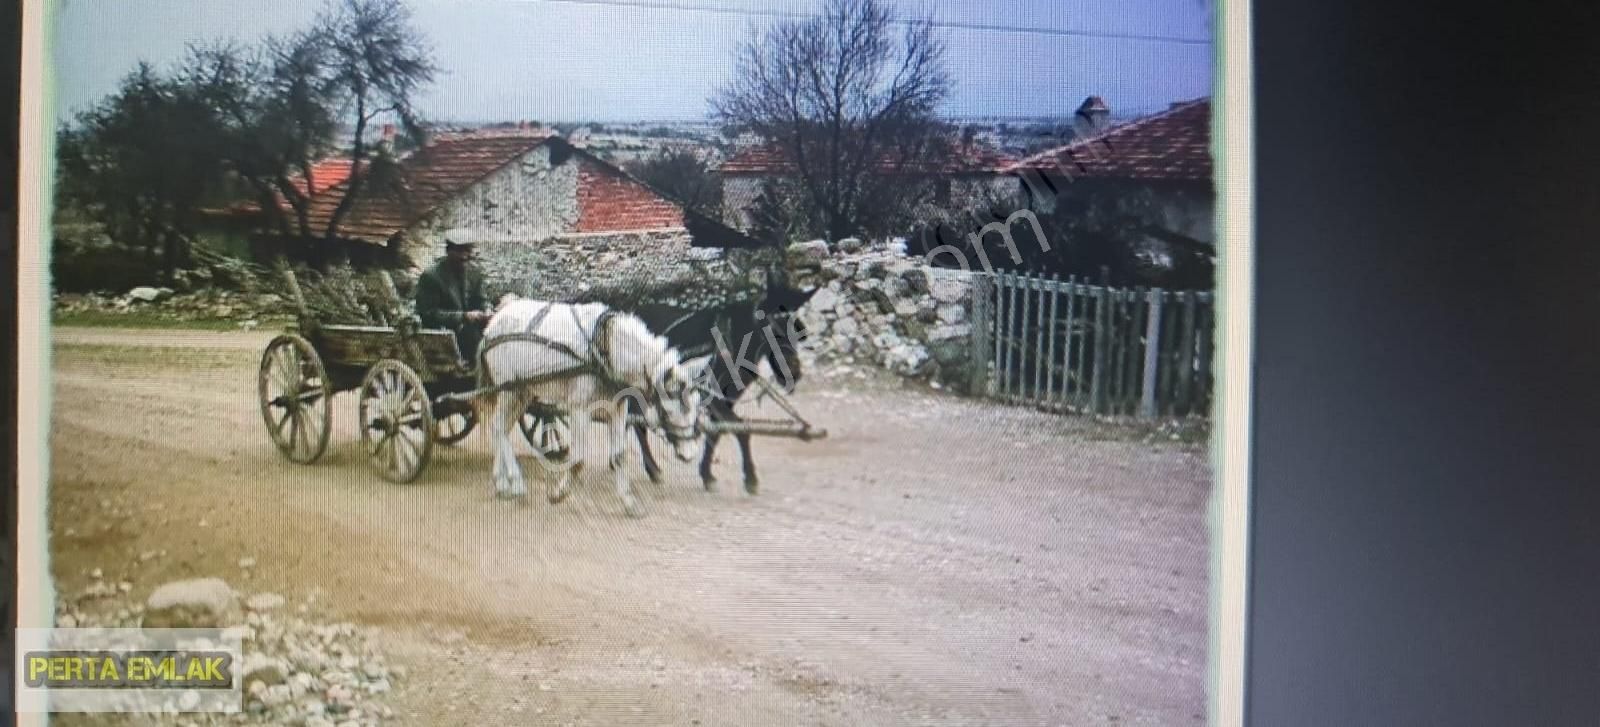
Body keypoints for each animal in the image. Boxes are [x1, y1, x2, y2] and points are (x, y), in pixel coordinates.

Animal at [473, 299, 700, 515]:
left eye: (695, 408)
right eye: (668, 411)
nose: (689, 455)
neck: (605, 348)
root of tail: (493, 322)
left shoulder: (618, 408)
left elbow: (619, 455)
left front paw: (629, 503)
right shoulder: (579, 410)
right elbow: (579, 459)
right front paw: (558, 493)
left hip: (523, 392)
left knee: (500, 428)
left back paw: (502, 482)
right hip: (508, 390)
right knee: (498, 427)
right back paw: (516, 481)